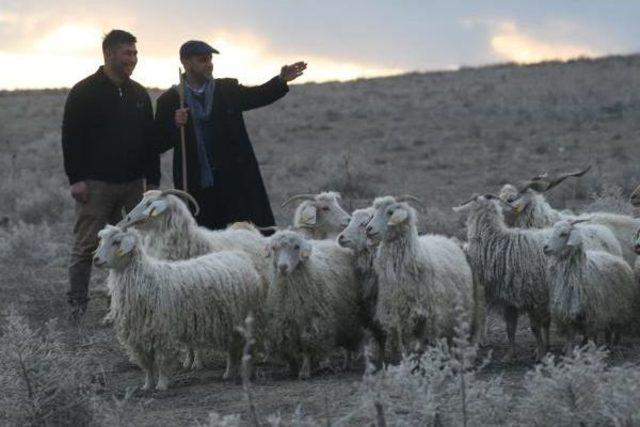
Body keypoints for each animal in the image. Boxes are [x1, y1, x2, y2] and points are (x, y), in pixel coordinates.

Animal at [92, 226, 260, 392]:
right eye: (101, 240)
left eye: (116, 242)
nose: (96, 259)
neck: (146, 279)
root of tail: (239, 255)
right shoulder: (138, 336)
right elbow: (147, 365)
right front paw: (147, 386)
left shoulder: (162, 333)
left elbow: (162, 361)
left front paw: (161, 385)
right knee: (232, 349)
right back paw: (228, 374)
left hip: (239, 319)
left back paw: (240, 372)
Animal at [266, 231, 364, 382]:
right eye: (274, 248)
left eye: (296, 247)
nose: (283, 267)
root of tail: (332, 241)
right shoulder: (285, 322)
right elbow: (290, 348)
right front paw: (293, 368)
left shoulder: (312, 320)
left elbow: (307, 345)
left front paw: (305, 371)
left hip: (350, 317)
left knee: (348, 343)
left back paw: (347, 363)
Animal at [364, 197, 476, 358]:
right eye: (374, 213)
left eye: (390, 212)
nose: (368, 229)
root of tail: (444, 238)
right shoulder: (396, 310)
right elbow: (401, 340)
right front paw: (402, 357)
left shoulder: (428, 313)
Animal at [544, 221, 636, 354]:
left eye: (563, 234)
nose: (545, 248)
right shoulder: (567, 314)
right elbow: (570, 338)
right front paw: (570, 353)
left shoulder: (592, 315)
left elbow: (591, 337)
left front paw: (590, 351)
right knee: (608, 329)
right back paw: (607, 345)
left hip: (620, 306)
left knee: (617, 329)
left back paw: (615, 346)